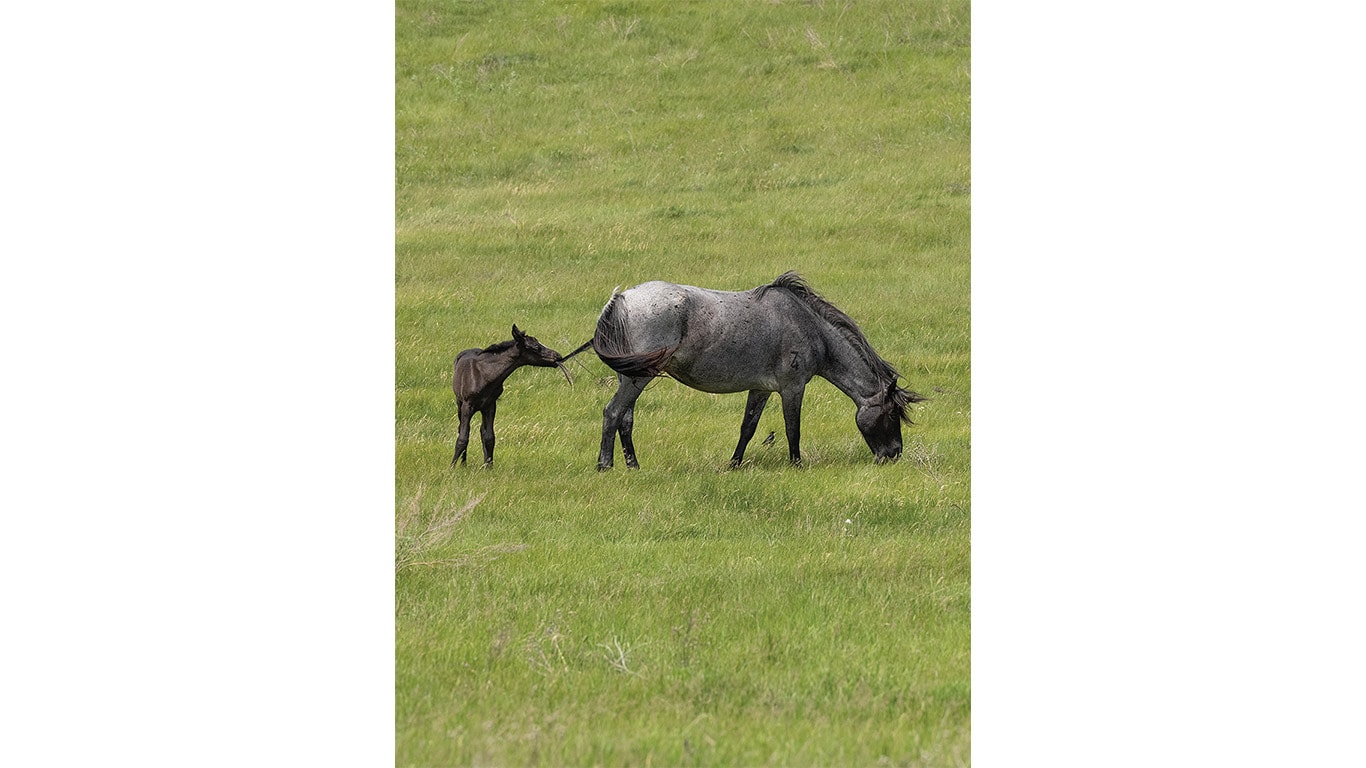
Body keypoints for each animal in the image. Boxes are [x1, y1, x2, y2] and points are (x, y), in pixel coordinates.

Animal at [450, 325, 569, 468]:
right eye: (535, 347)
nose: (558, 356)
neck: (485, 375)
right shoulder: (468, 405)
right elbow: (463, 437)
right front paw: (451, 468)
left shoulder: (490, 404)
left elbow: (489, 437)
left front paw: (489, 467)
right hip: (460, 403)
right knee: (462, 428)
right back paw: (463, 463)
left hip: (483, 408)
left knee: (481, 430)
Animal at [578, 271, 926, 470]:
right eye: (892, 414)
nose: (894, 454)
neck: (810, 326)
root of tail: (623, 298)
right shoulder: (792, 387)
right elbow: (792, 428)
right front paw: (796, 465)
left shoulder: (760, 388)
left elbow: (748, 427)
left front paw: (734, 464)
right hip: (637, 377)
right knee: (613, 413)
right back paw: (605, 466)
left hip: (632, 376)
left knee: (626, 419)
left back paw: (634, 465)